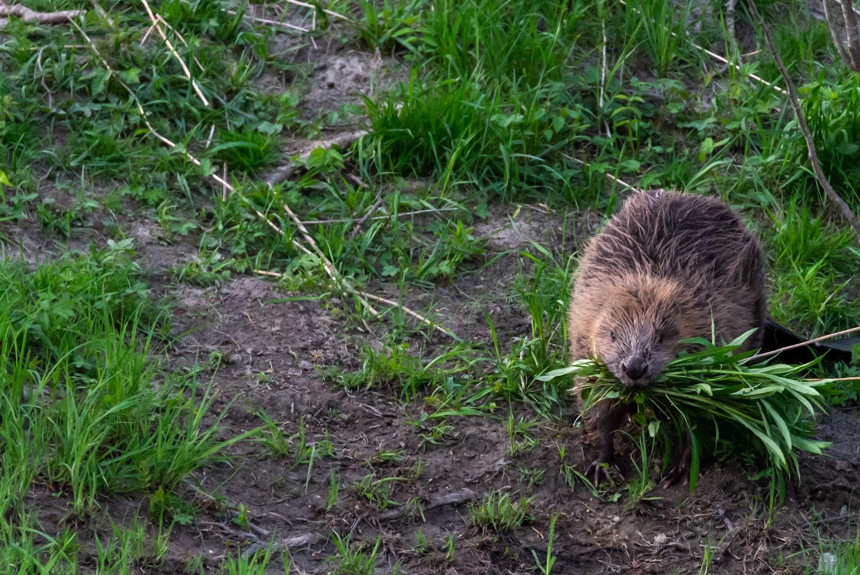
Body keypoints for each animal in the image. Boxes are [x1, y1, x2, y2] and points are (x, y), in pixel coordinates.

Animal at [572, 190, 764, 486]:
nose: (634, 367)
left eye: (661, 337)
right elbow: (596, 404)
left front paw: (678, 470)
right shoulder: (584, 339)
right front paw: (603, 465)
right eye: (613, 335)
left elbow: (699, 417)